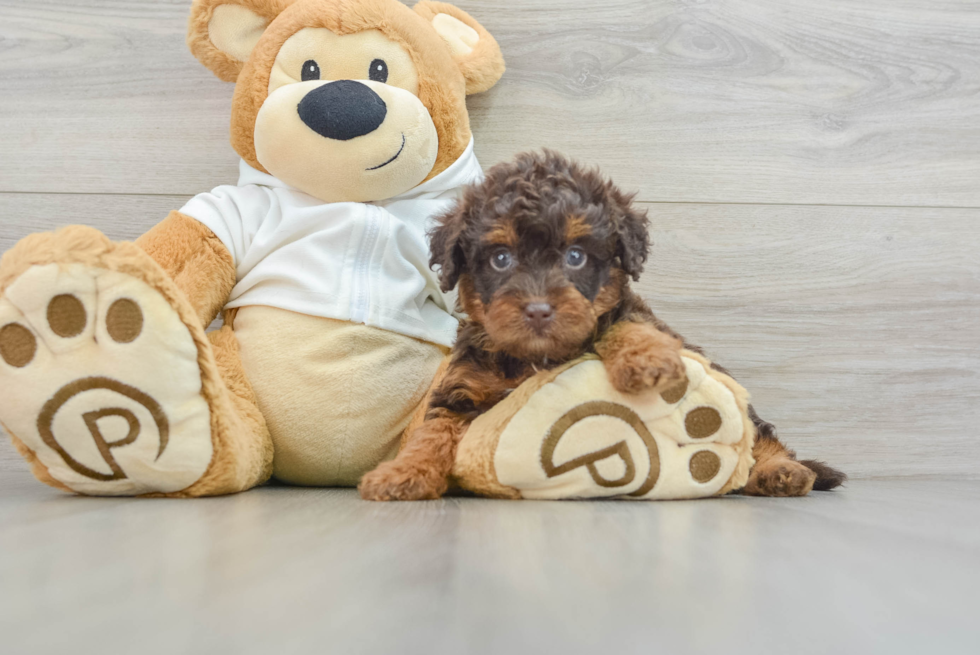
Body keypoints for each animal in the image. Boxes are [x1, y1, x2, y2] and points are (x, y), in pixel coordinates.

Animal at [360, 152, 844, 502]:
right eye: (501, 259)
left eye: (576, 256)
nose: (539, 310)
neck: (535, 359)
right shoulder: (461, 389)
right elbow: (431, 432)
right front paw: (402, 472)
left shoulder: (630, 316)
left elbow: (622, 323)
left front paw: (646, 359)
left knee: (762, 438)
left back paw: (783, 471)